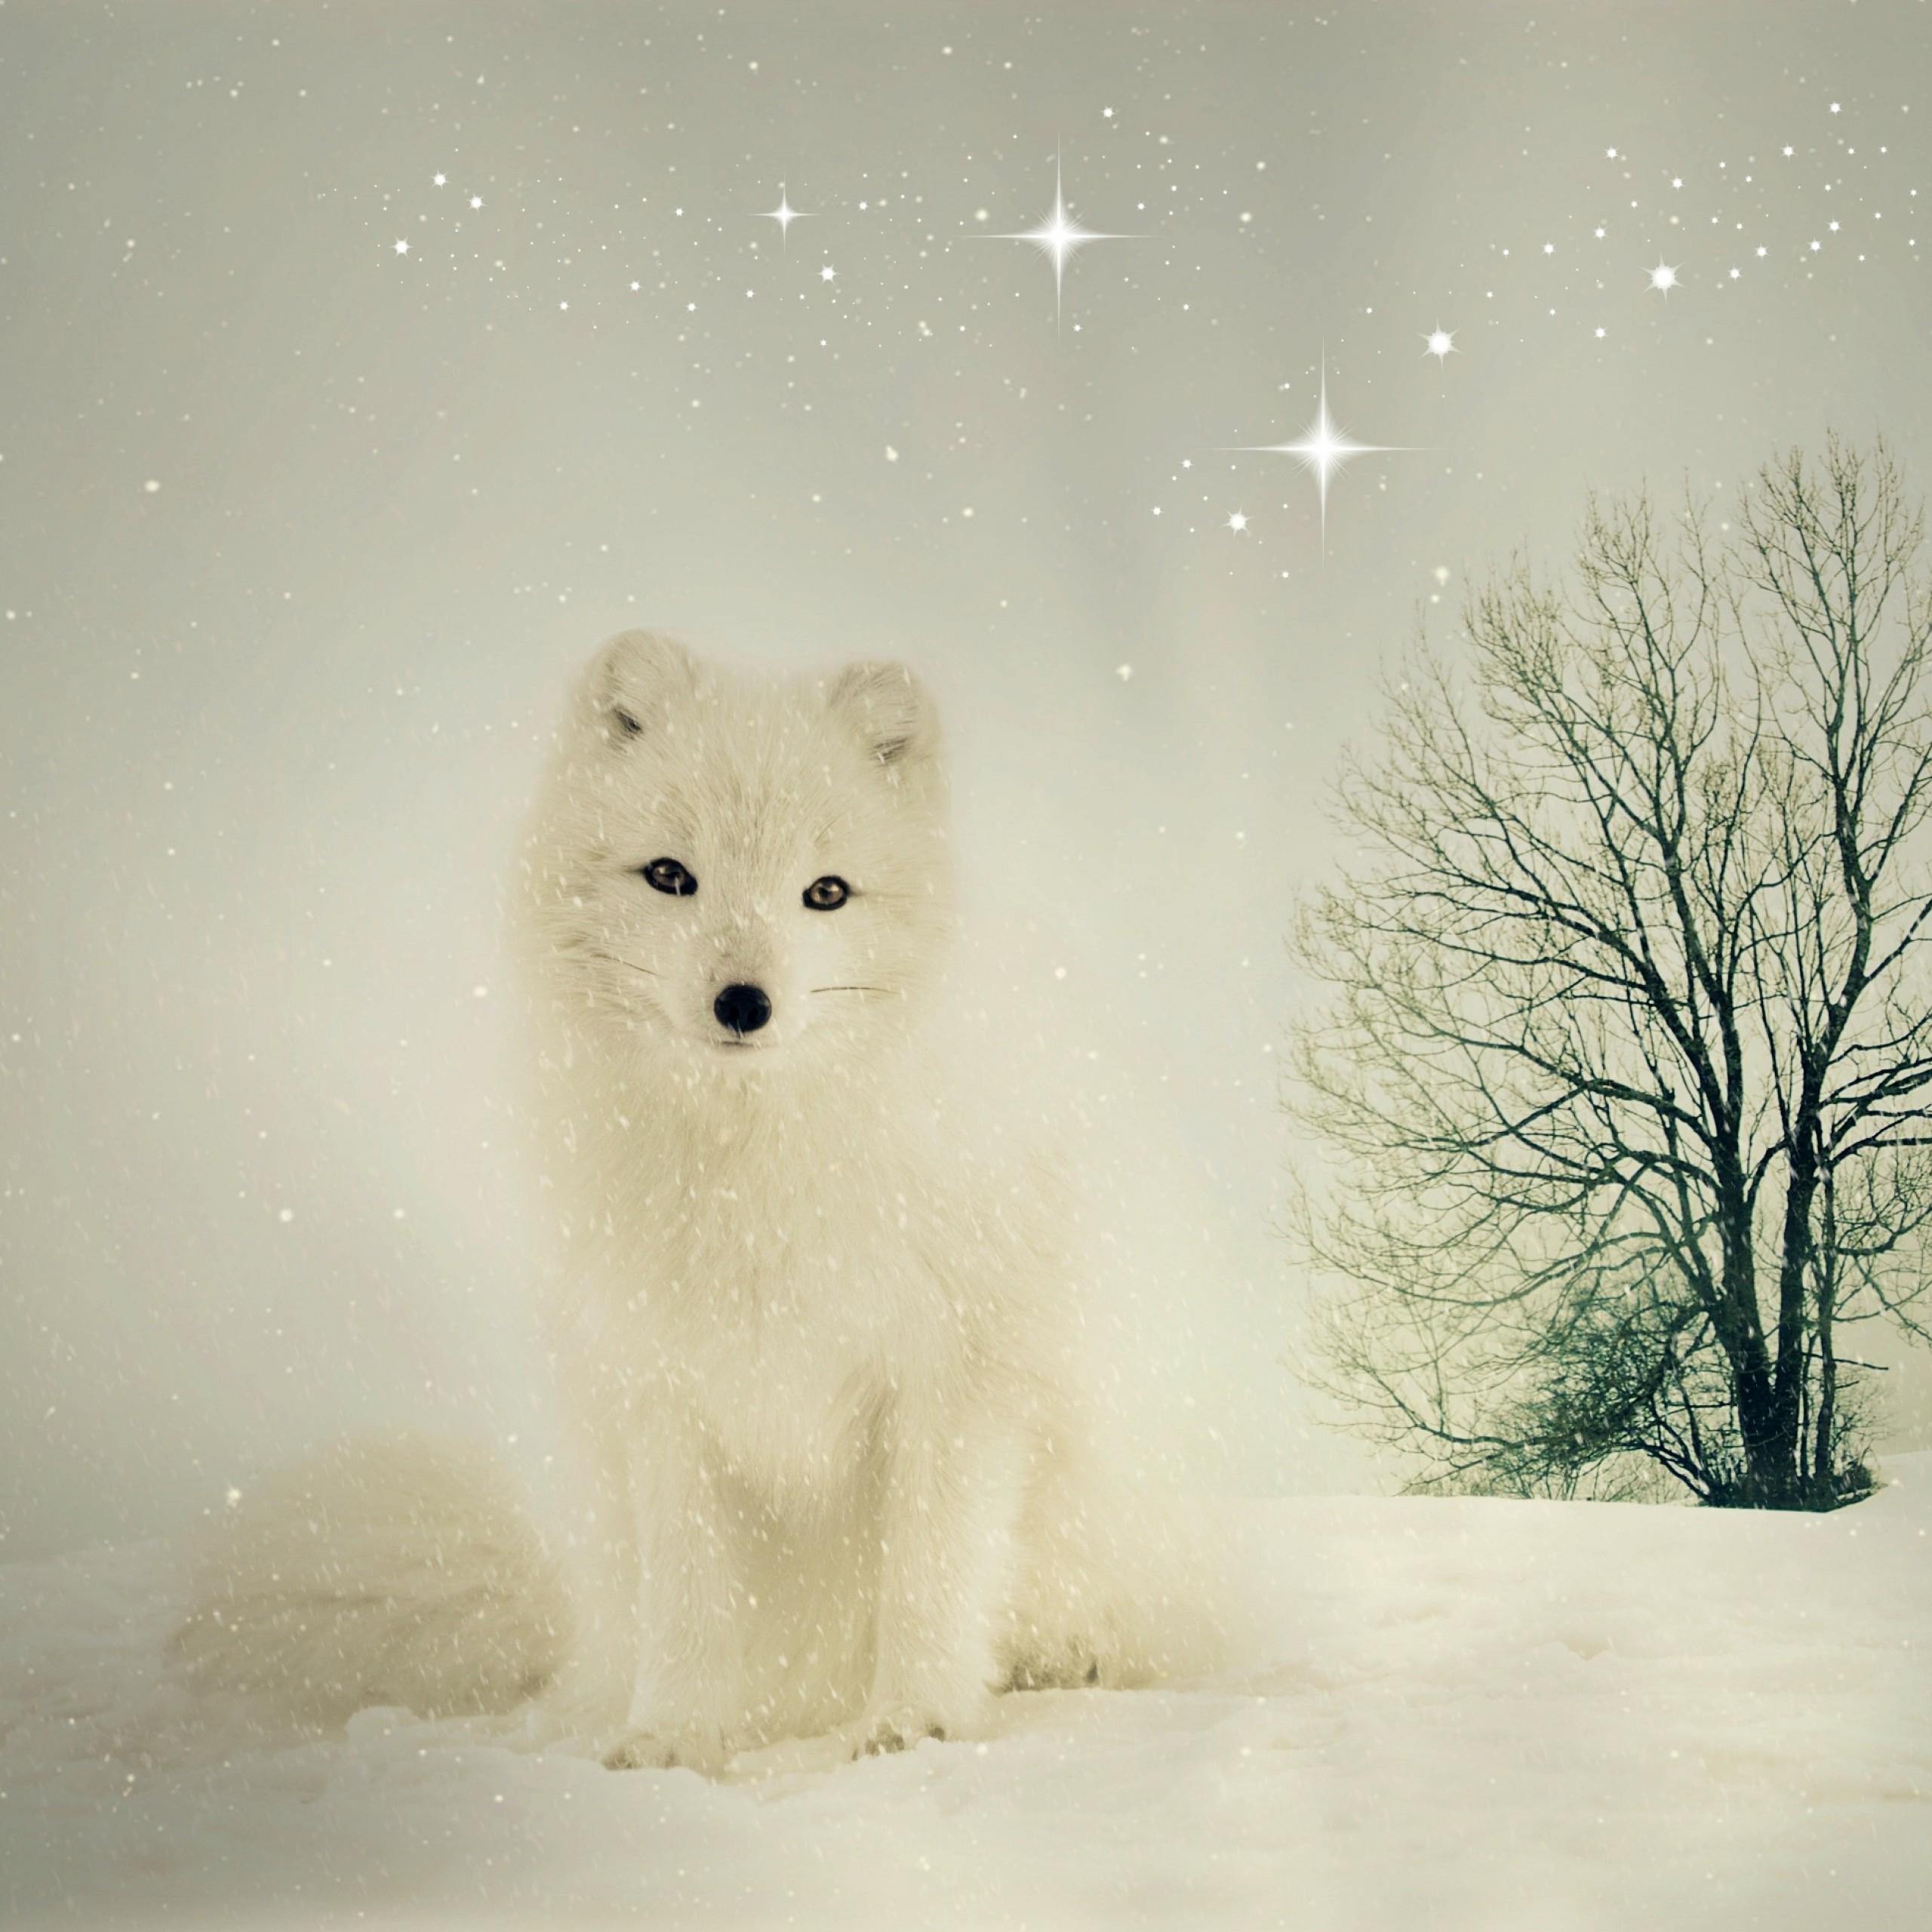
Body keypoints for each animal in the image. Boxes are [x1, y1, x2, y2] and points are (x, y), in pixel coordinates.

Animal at [169, 631, 1225, 1771]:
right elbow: (690, 1596)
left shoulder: (958, 1369)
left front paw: (912, 1721)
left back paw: (1060, 1656)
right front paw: (673, 1739)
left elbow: (929, 1572)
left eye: (826, 893)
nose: (742, 1003)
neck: (751, 1167)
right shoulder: (664, 1385)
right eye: (671, 876)